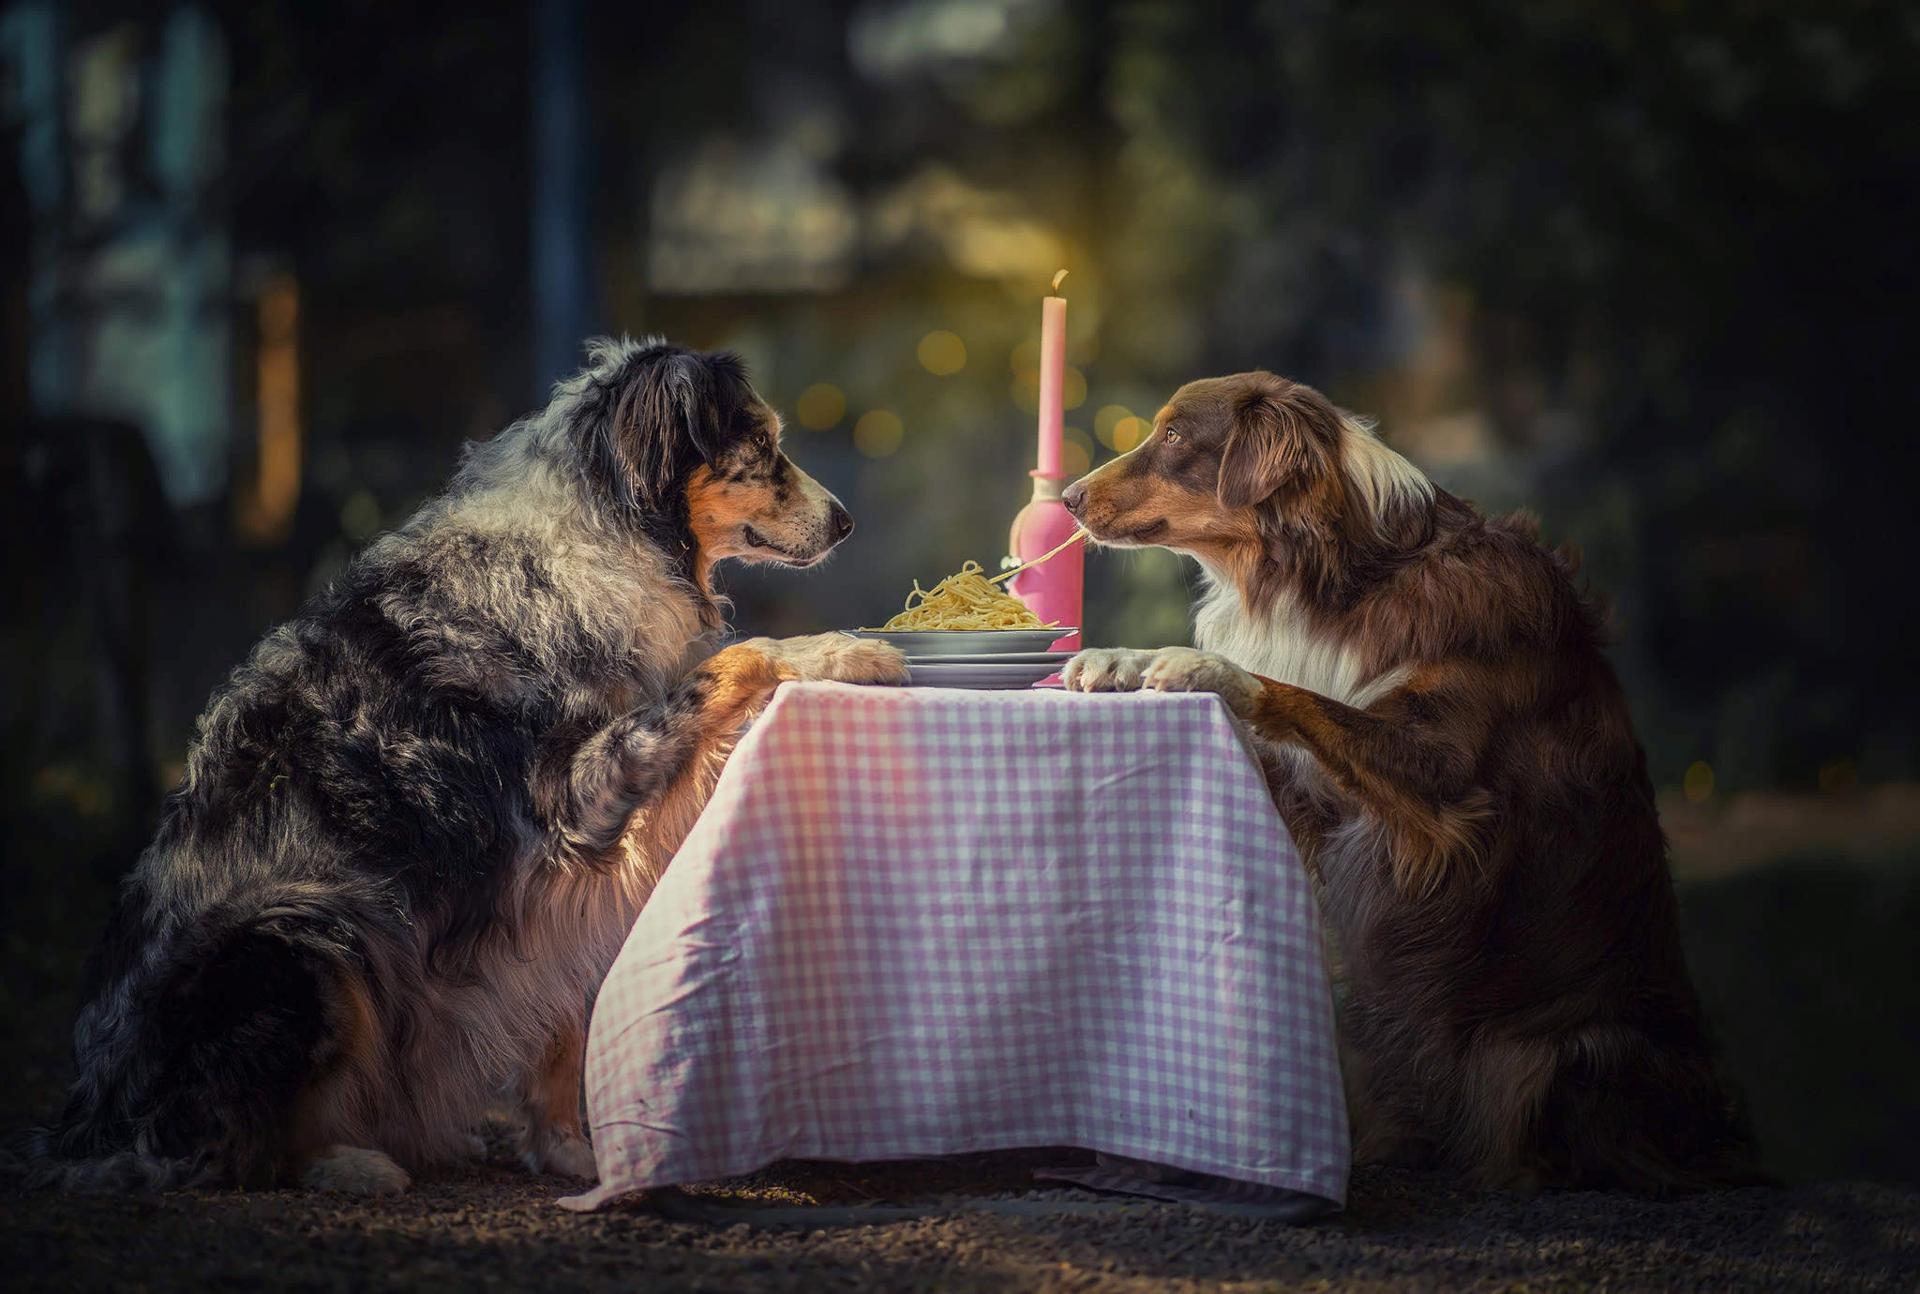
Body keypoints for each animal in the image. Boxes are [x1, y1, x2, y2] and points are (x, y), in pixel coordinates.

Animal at [9, 335, 906, 1190]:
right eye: (759, 443)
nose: (847, 522)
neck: (605, 531)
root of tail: (82, 1122)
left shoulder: (565, 870)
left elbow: (564, 1018)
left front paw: (567, 1152)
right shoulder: (574, 802)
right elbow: (740, 657)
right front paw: (847, 651)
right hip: (307, 934)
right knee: (221, 1146)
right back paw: (348, 1165)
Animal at [1059, 364, 1758, 1190]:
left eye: (1172, 435)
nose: (1066, 498)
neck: (1338, 582)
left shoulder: (1444, 781)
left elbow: (1297, 695)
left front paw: (1198, 663)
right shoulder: (1324, 800)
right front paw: (1117, 660)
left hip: (1566, 1053)